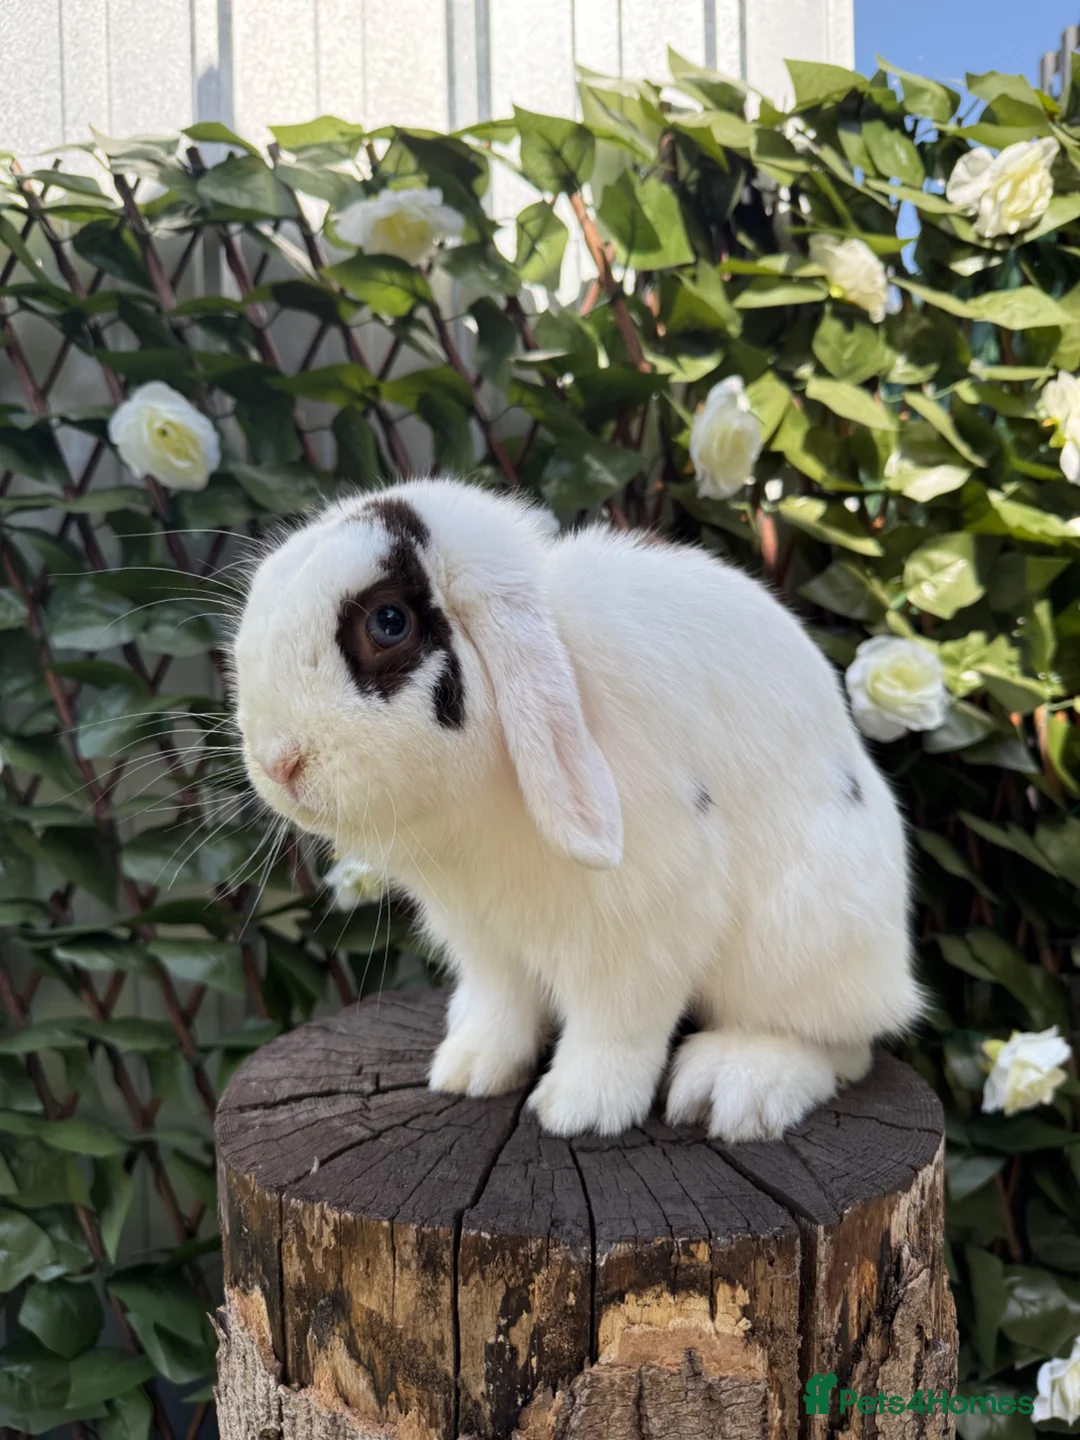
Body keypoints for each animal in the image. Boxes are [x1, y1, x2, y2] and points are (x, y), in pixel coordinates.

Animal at [231, 477, 924, 1142]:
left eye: (388, 623)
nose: (279, 762)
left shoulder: (641, 927)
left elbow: (616, 1025)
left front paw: (578, 1110)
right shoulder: (482, 937)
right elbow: (502, 1005)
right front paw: (469, 1072)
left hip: (803, 936)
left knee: (838, 1043)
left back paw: (736, 1087)